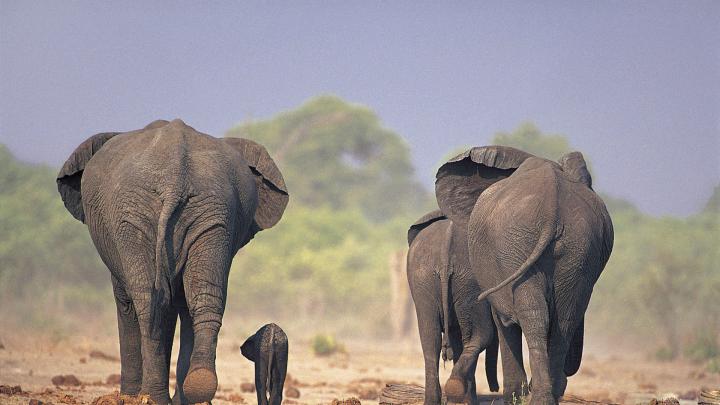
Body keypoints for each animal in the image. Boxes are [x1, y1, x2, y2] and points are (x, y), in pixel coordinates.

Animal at [56, 119, 289, 404]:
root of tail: (176, 174)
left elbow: (128, 302)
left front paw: (130, 397)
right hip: (212, 212)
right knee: (202, 297)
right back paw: (198, 386)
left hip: (134, 218)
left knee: (147, 302)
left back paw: (152, 396)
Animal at [407, 210, 499, 405]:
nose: (495, 389)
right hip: (470, 282)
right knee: (481, 334)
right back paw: (463, 395)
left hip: (423, 279)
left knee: (430, 338)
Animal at [435, 146, 613, 405]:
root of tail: (552, 206)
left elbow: (503, 320)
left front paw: (514, 395)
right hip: (575, 247)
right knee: (564, 316)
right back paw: (547, 394)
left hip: (518, 244)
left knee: (535, 314)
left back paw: (534, 395)